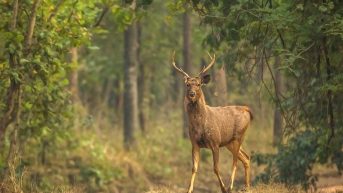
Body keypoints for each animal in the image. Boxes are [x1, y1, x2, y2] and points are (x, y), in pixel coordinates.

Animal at [172, 51, 255, 193]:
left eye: (198, 84)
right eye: (187, 84)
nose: (192, 94)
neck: (200, 125)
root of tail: (246, 109)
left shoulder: (215, 142)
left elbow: (216, 168)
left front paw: (223, 188)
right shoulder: (194, 143)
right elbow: (194, 168)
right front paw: (189, 190)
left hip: (239, 135)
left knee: (235, 162)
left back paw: (231, 186)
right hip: (229, 142)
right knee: (246, 157)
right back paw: (247, 187)